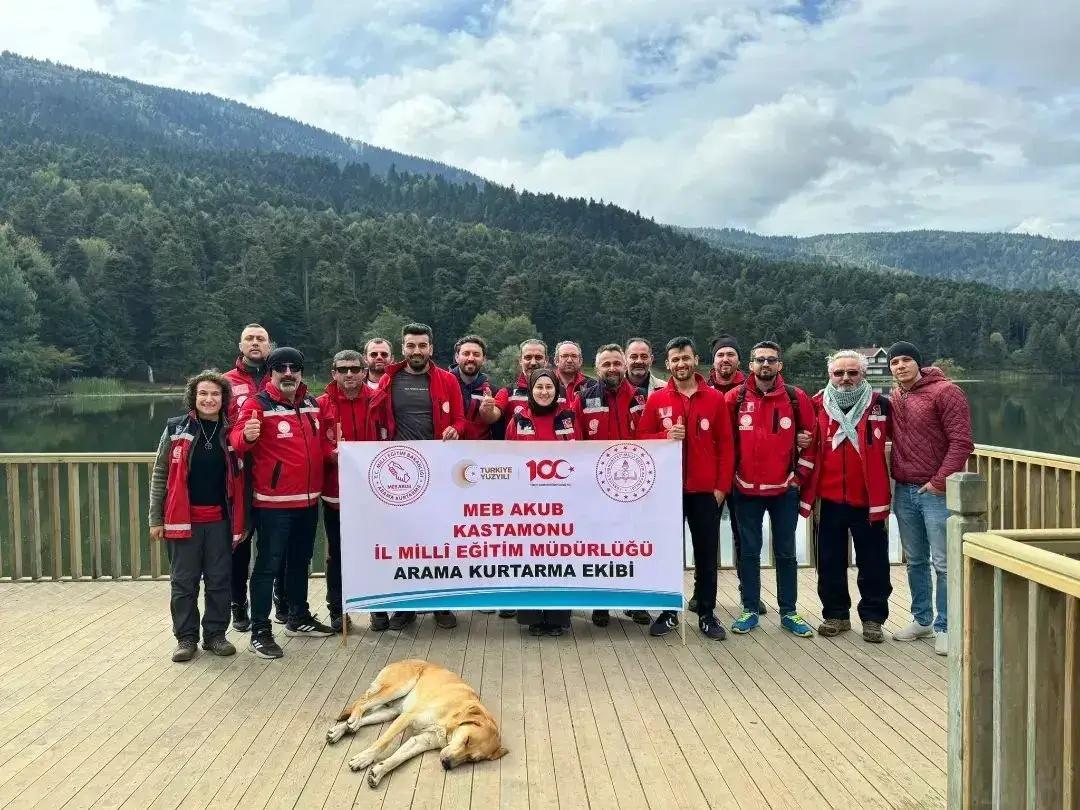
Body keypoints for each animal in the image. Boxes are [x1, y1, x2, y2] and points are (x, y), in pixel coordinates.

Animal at [324, 660, 505, 790]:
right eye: (467, 740)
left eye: (472, 759)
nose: (447, 763)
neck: (452, 718)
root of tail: (406, 659)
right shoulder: (407, 718)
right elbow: (383, 743)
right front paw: (364, 758)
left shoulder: (420, 741)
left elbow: (398, 758)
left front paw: (380, 770)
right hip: (396, 690)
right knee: (361, 704)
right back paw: (352, 721)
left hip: (390, 712)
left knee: (364, 716)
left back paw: (341, 730)